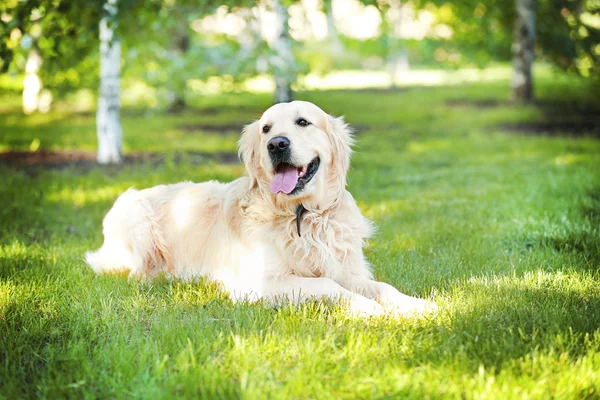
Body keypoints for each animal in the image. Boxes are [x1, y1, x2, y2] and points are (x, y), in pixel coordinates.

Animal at [85, 101, 436, 316]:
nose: (277, 144)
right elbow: (327, 285)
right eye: (266, 129)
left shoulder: (346, 268)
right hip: (137, 217)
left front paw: (417, 305)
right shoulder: (259, 283)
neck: (303, 216)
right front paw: (369, 309)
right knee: (137, 274)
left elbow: (381, 286)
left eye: (303, 122)